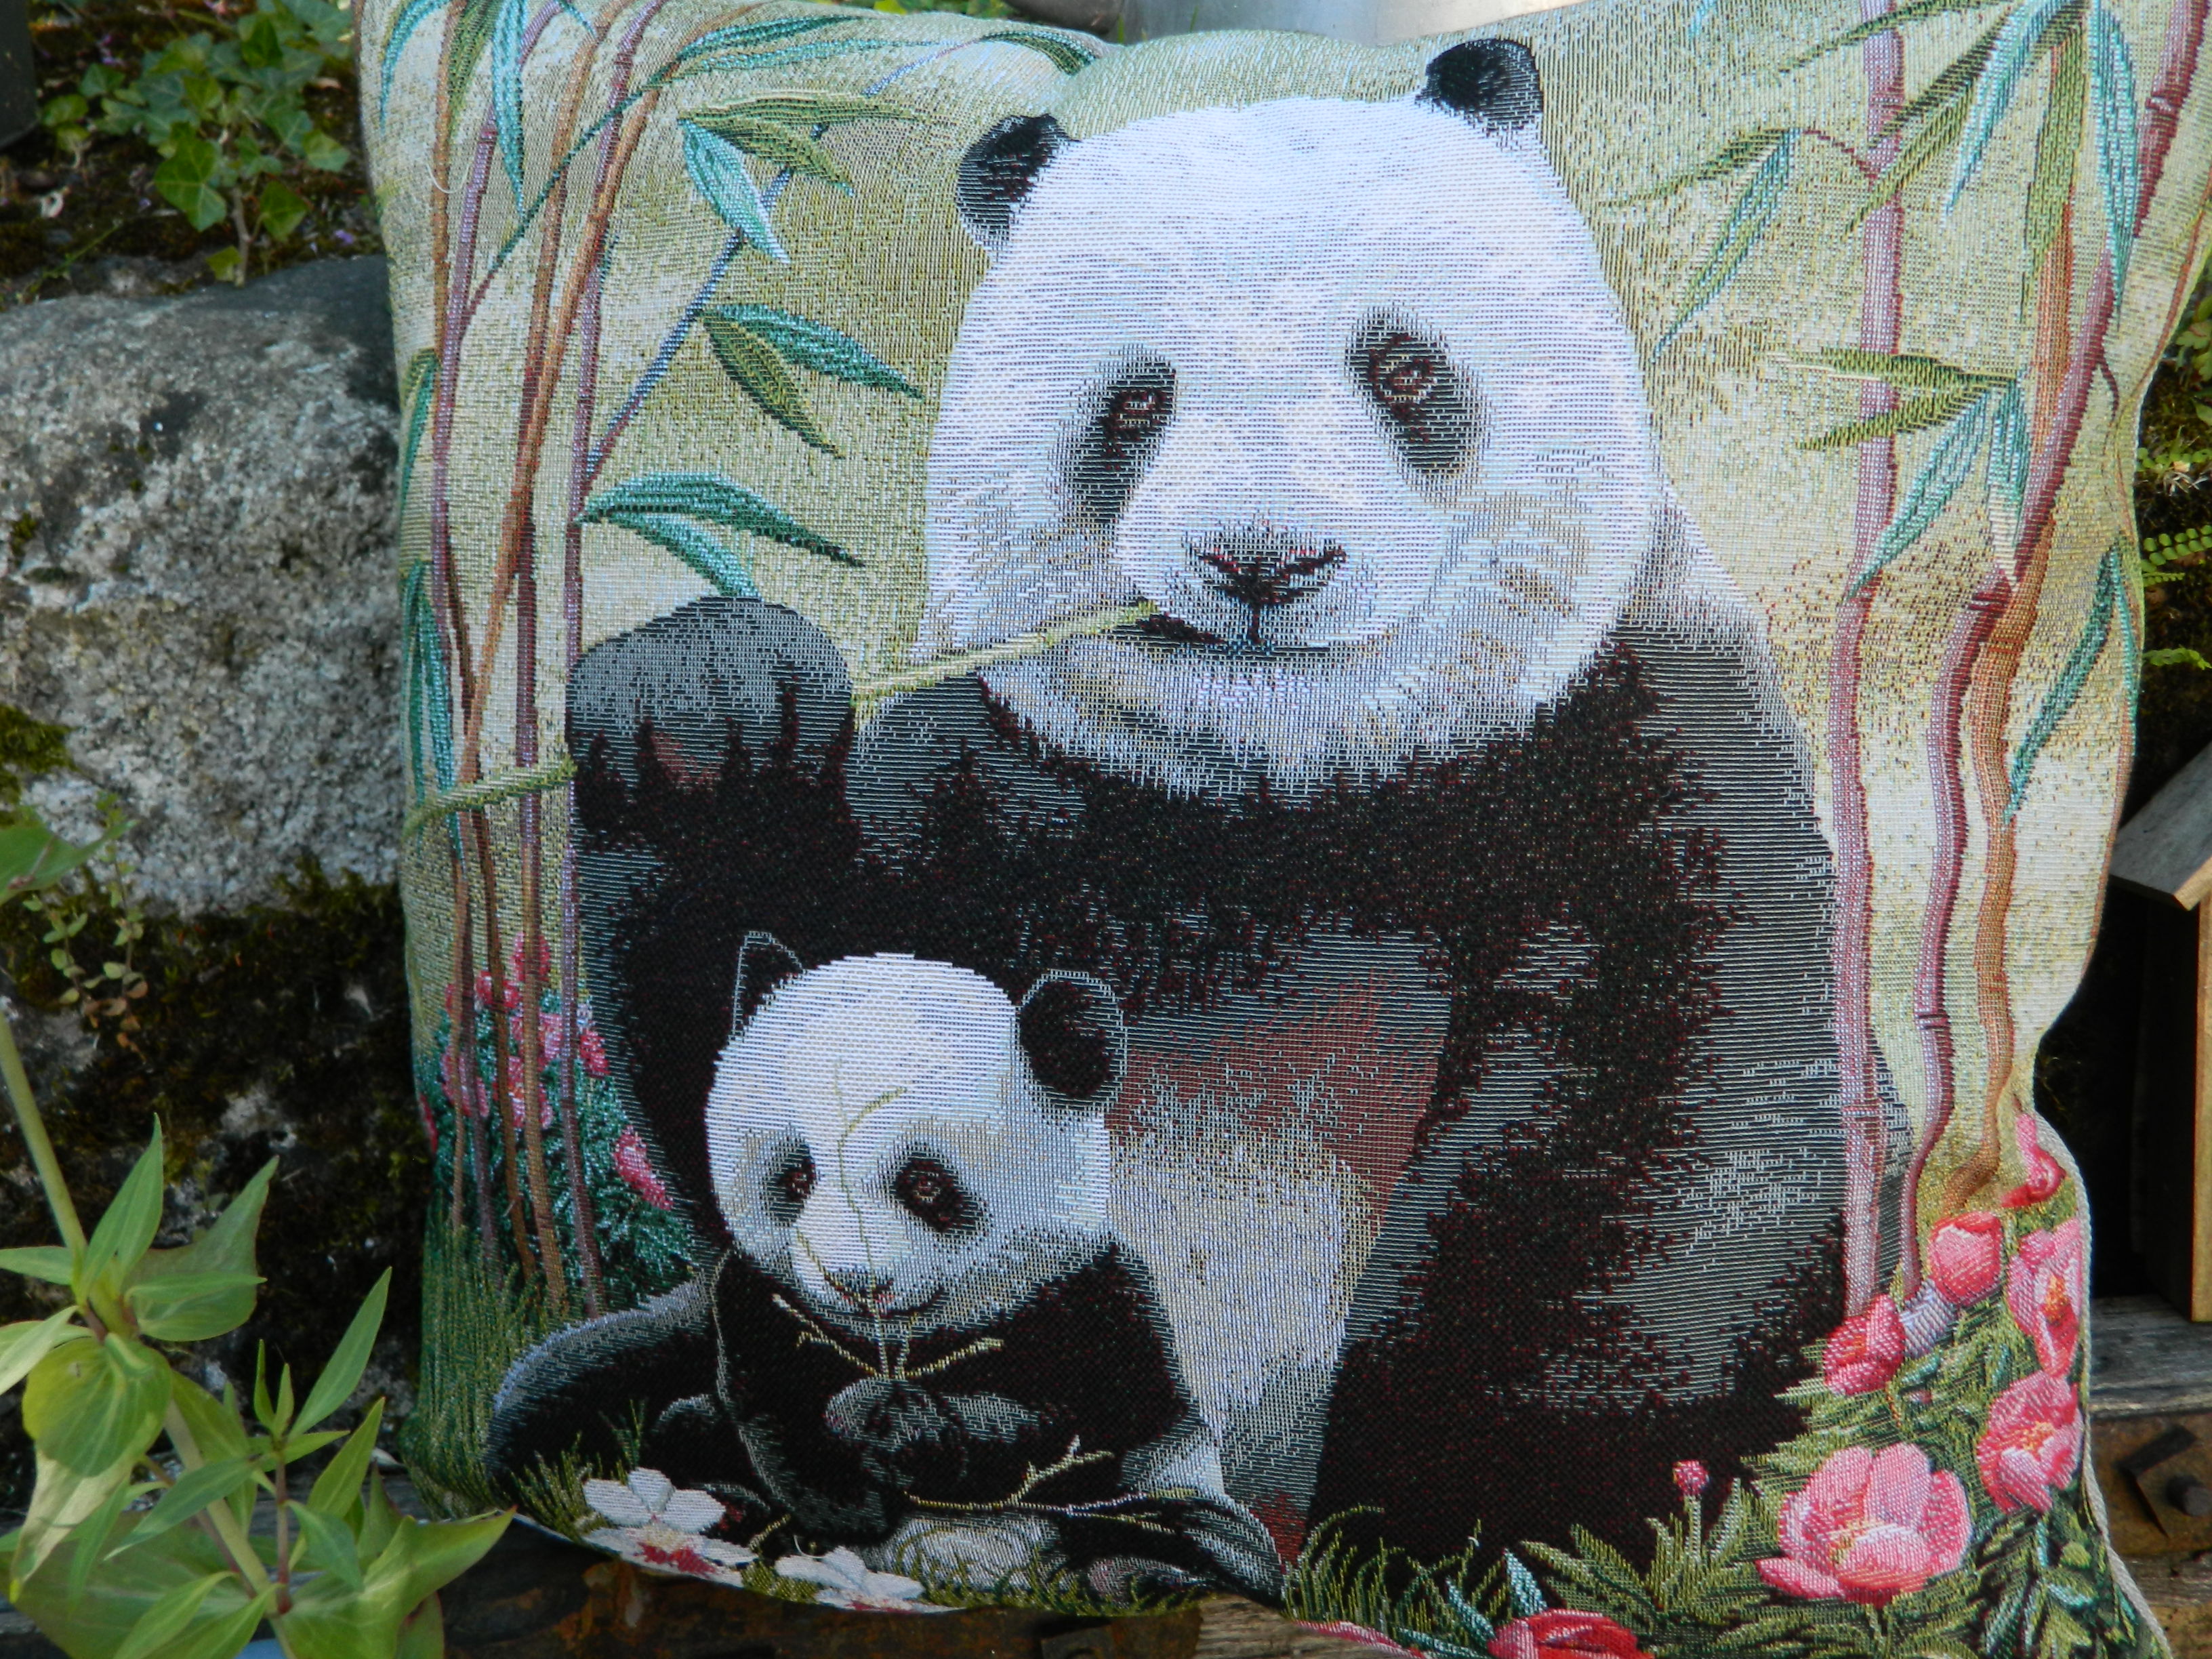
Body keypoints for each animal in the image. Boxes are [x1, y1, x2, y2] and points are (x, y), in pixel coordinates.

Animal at [484, 940, 1283, 1602]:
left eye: (925, 1184)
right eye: (797, 1176)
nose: (854, 1282)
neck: (899, 1340)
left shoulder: (1094, 1306)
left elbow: (1064, 1425)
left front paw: (901, 1424)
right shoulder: (755, 1300)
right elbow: (772, 1398)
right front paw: (847, 1481)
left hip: (1159, 1492)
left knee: (1201, 1535)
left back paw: (1141, 1576)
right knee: (587, 1391)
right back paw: (721, 1503)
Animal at [554, 37, 1870, 1567]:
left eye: (1402, 369)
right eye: (1135, 404)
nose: (1262, 559)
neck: (1290, 793)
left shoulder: (1631, 726)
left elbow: (1656, 1123)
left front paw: (1466, 1501)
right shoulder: (997, 771)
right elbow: (787, 1038)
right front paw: (704, 708)